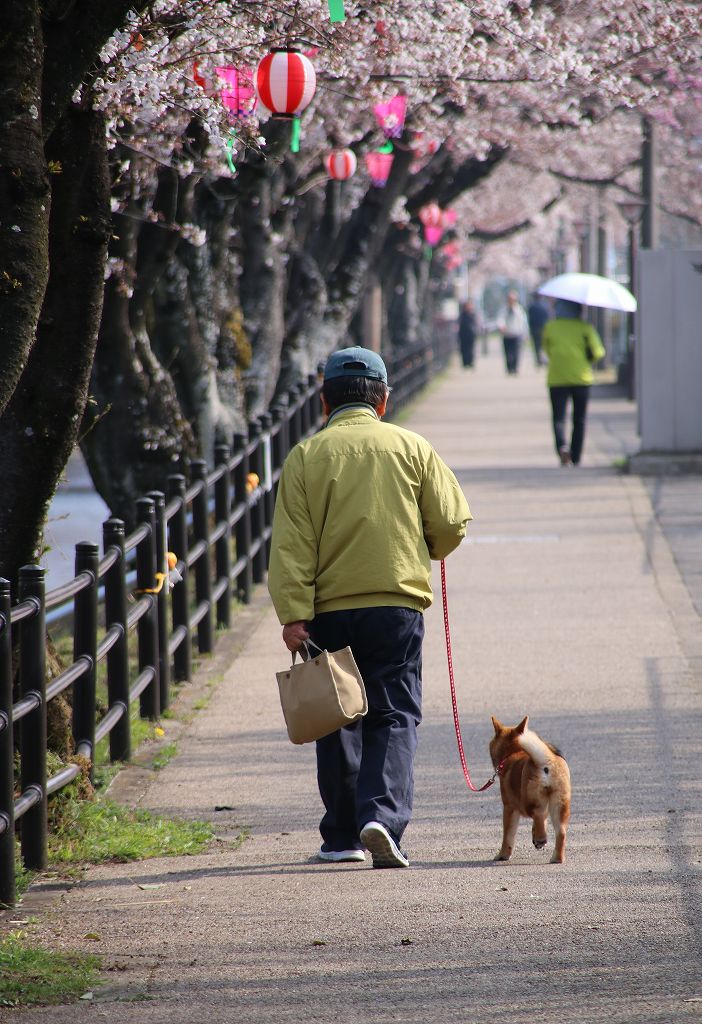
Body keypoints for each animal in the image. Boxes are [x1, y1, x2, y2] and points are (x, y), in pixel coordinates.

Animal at [489, 720, 573, 864]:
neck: (513, 753)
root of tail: (547, 761)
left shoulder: (509, 807)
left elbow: (508, 834)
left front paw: (503, 855)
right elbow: (542, 822)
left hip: (529, 800)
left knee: (537, 814)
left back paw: (541, 838)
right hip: (560, 802)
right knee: (560, 831)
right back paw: (556, 857)